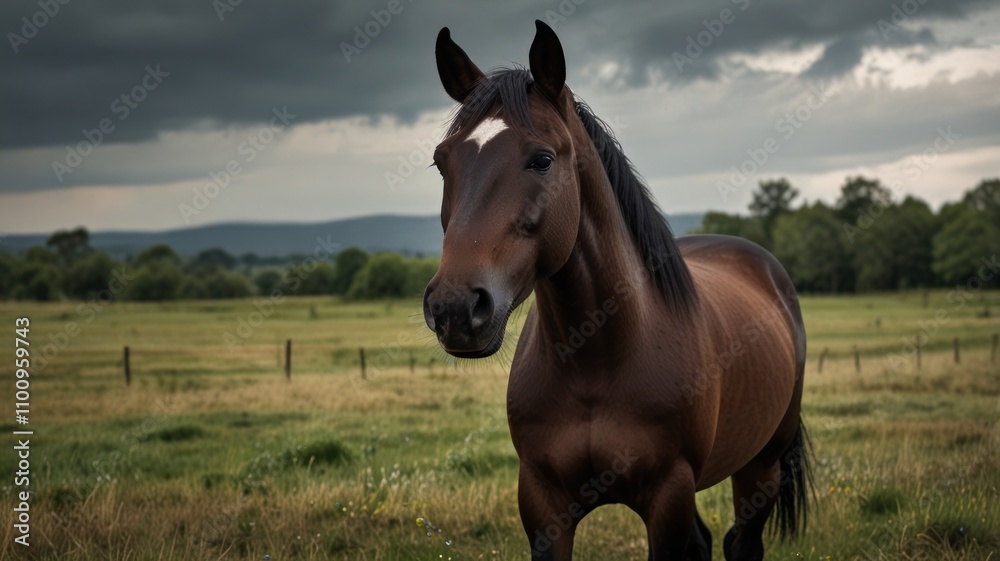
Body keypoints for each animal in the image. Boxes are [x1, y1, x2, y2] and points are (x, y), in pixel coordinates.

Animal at [422, 21, 812, 561]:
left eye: (541, 159)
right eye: (442, 163)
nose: (455, 308)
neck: (599, 360)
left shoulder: (669, 496)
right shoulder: (543, 505)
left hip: (762, 464)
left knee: (742, 541)